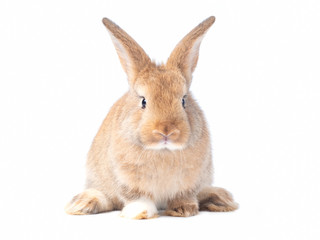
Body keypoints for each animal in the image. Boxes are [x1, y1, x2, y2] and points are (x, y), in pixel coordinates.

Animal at [65, 16, 238, 219]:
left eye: (183, 100)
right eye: (143, 101)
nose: (166, 131)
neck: (163, 151)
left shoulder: (191, 181)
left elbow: (184, 195)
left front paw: (184, 209)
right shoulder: (125, 179)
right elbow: (137, 197)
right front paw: (140, 212)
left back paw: (220, 199)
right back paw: (81, 204)